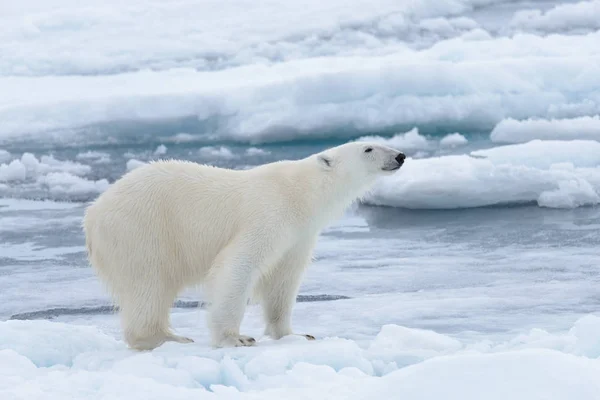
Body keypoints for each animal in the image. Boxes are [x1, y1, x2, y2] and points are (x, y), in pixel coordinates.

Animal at [82, 142, 406, 348]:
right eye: (368, 149)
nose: (401, 156)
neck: (301, 193)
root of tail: (92, 213)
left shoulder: (298, 235)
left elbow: (283, 280)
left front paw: (295, 334)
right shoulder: (269, 213)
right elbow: (238, 265)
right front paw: (236, 338)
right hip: (141, 230)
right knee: (148, 284)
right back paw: (165, 337)